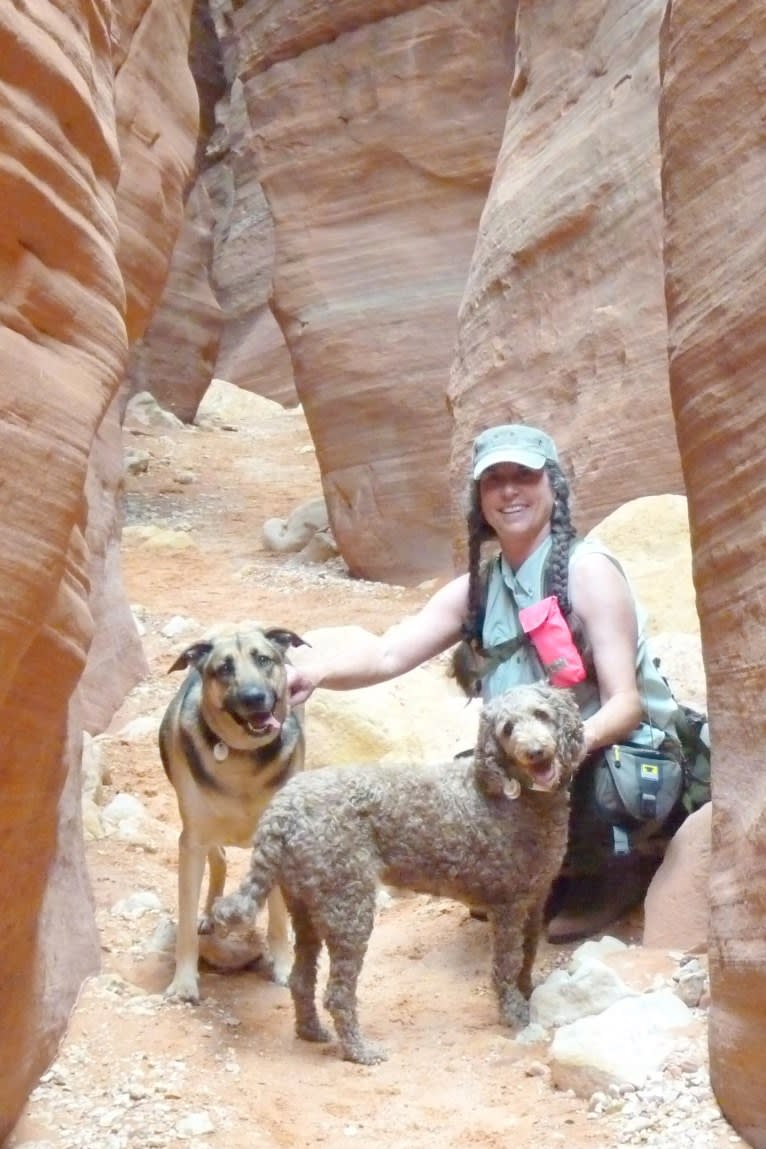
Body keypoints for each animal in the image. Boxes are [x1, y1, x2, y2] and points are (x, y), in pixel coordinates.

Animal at [160, 625, 307, 1001]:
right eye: (224, 668)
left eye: (264, 659)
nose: (254, 697)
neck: (242, 756)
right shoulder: (192, 841)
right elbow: (185, 922)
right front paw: (184, 982)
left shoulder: (276, 836)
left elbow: (278, 918)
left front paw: (284, 966)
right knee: (221, 858)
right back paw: (211, 913)